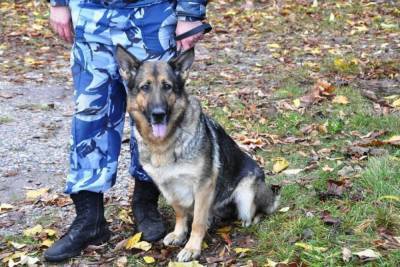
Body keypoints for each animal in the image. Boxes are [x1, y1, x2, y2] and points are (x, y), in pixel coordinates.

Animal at [114, 45, 280, 262]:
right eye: (145, 87)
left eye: (167, 86)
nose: (158, 114)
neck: (165, 144)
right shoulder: (169, 187)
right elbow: (180, 213)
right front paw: (179, 233)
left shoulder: (203, 186)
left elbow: (198, 222)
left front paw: (192, 248)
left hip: (247, 194)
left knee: (259, 210)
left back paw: (249, 219)